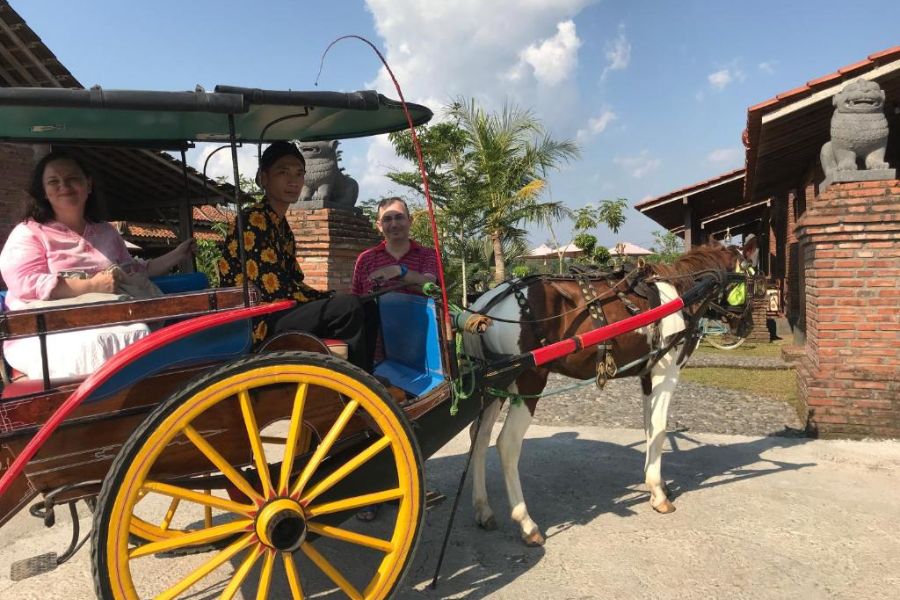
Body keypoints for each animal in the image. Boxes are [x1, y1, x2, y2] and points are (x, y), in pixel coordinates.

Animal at [460, 241, 748, 548]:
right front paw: (658, 493)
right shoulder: (666, 373)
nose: (746, 326)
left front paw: (656, 481)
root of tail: (484, 304)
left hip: (495, 384)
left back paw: (483, 508)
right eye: (752, 275)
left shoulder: (647, 375)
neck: (681, 294)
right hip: (528, 381)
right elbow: (659, 428)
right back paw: (526, 523)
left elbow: (649, 427)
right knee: (507, 443)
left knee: (480, 436)